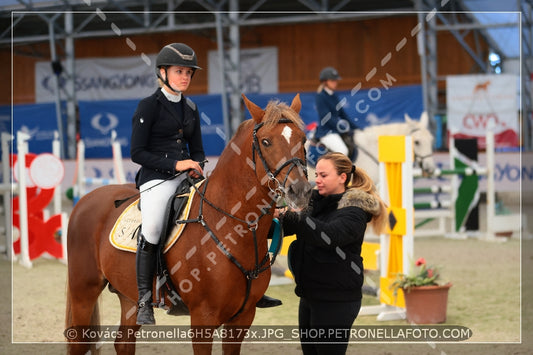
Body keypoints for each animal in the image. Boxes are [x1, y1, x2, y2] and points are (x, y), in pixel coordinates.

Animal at [64, 93, 310, 354]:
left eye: (303, 140)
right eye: (266, 142)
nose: (300, 192)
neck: (232, 225)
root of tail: (86, 199)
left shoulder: (243, 316)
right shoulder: (203, 317)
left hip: (128, 295)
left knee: (123, 342)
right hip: (83, 292)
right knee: (79, 342)